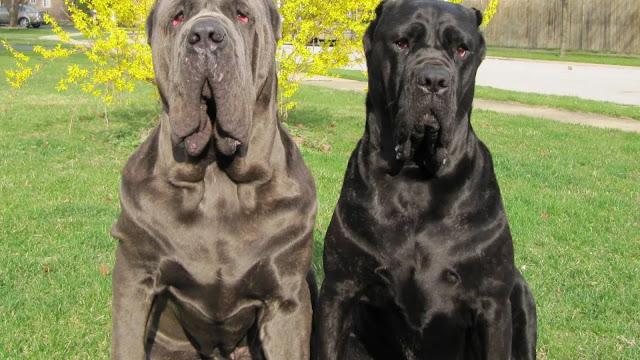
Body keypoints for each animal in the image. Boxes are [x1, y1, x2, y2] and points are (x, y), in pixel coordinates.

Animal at [111, 0, 318, 358]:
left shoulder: (287, 298)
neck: (217, 178)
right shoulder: (133, 277)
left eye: (242, 15)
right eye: (178, 17)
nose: (205, 35)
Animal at [312, 0, 536, 360]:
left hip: (521, 294)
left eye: (461, 49)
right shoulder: (338, 291)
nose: (434, 79)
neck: (415, 176)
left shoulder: (492, 304)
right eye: (402, 43)